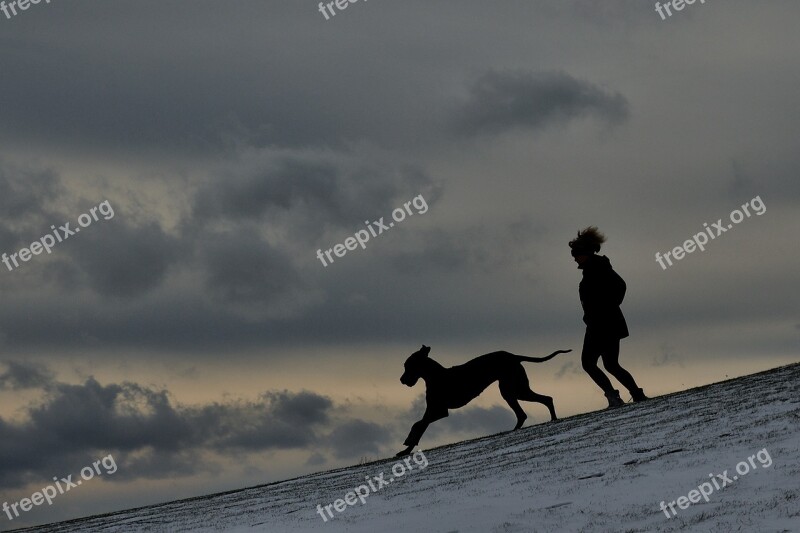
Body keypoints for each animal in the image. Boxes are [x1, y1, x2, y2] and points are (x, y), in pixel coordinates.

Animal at [394, 344, 568, 458]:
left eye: (408, 365)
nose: (402, 380)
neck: (435, 377)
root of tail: (513, 355)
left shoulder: (439, 411)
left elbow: (417, 424)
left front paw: (407, 442)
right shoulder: (433, 410)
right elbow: (420, 426)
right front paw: (406, 450)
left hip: (515, 389)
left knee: (543, 401)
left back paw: (552, 419)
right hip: (511, 391)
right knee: (529, 410)